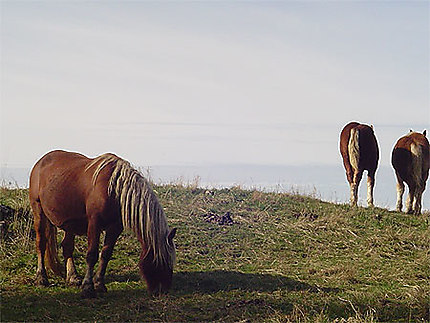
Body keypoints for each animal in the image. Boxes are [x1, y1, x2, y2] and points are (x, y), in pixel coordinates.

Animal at [29, 150, 176, 298]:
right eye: (160, 260)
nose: (162, 290)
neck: (114, 190)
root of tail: (40, 162)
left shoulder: (115, 227)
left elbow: (106, 254)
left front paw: (99, 284)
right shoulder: (95, 224)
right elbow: (92, 255)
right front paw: (88, 287)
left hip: (69, 223)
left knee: (67, 247)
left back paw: (73, 277)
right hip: (38, 211)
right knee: (41, 244)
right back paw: (41, 278)